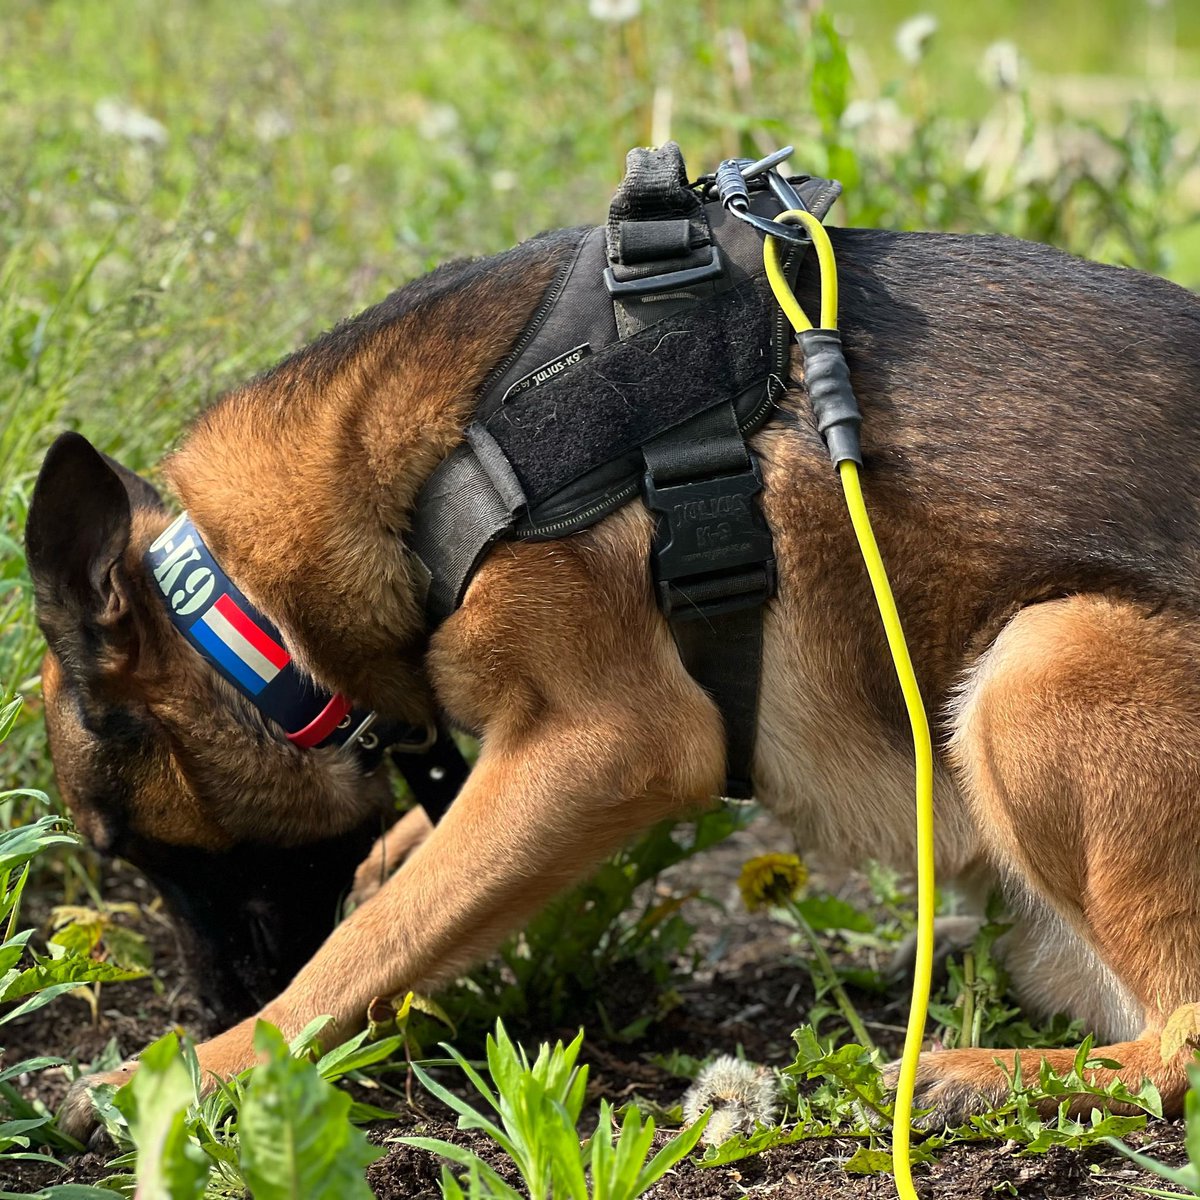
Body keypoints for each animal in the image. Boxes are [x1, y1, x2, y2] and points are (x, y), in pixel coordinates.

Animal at [23, 206, 1200, 1132]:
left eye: (126, 847)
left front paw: (204, 1067)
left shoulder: (607, 741)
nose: (210, 1003)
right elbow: (405, 874)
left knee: (1179, 1037)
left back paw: (985, 1076)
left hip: (1039, 667)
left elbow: (374, 937)